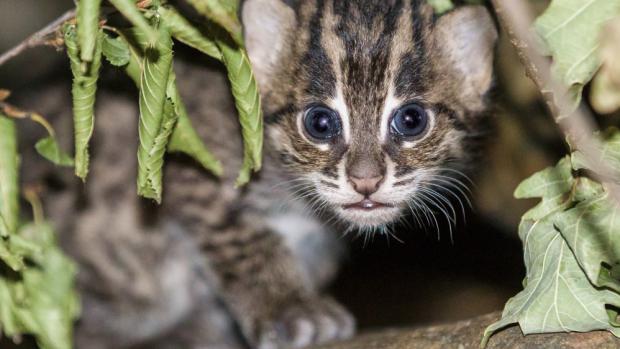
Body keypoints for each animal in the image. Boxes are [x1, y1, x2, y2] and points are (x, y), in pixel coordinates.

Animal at [40, 0, 498, 348]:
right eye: (319, 123)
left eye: (411, 120)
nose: (365, 181)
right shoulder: (192, 170)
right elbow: (242, 240)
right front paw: (288, 307)